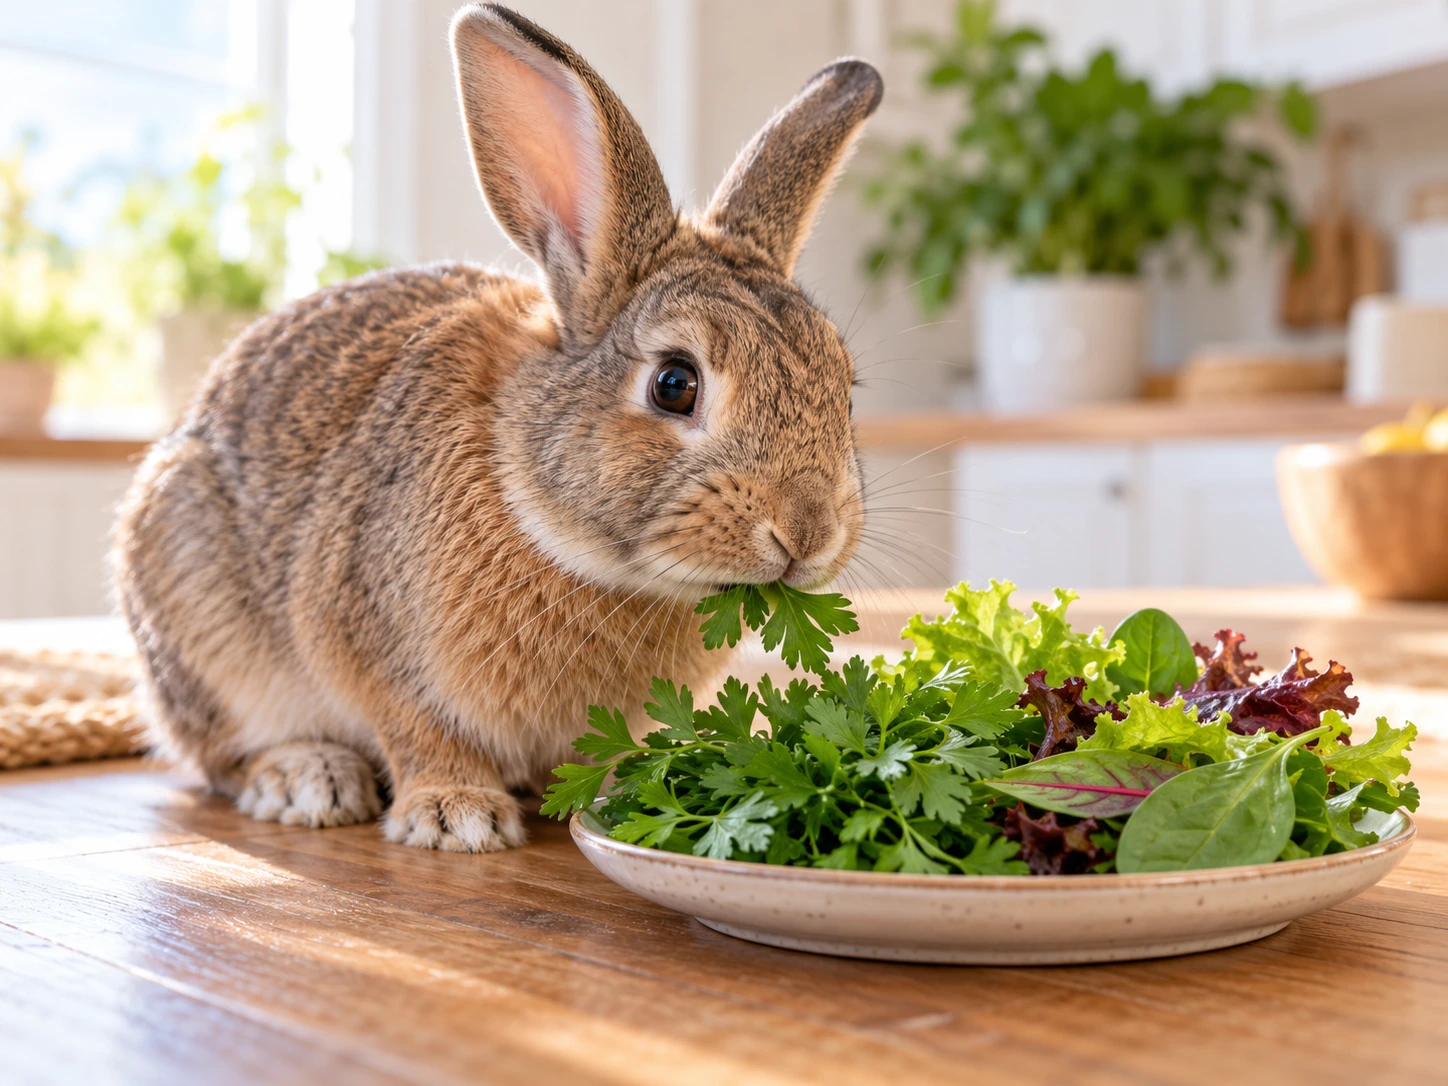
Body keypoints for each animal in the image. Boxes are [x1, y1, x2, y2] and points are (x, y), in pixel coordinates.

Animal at [112, 3, 882, 852]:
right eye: (675, 384)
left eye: (845, 389)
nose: (808, 532)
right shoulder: (368, 641)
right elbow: (419, 730)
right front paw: (457, 816)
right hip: (194, 611)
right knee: (219, 756)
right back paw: (307, 779)